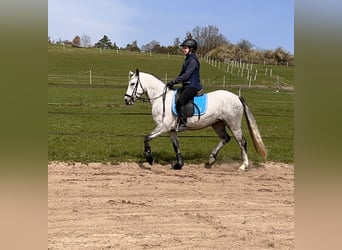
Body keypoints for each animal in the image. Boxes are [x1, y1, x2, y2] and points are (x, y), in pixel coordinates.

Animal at [124, 69, 268, 170]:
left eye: (132, 84)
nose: (126, 100)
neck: (161, 98)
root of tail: (237, 97)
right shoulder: (171, 130)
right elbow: (176, 146)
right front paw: (179, 165)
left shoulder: (163, 127)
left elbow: (146, 138)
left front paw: (149, 159)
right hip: (217, 124)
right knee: (225, 138)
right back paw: (211, 159)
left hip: (234, 124)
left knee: (242, 142)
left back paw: (243, 166)